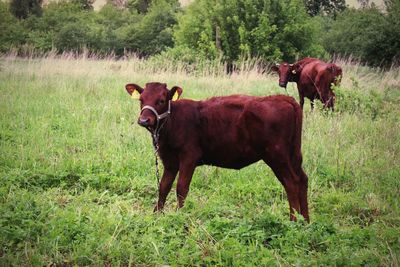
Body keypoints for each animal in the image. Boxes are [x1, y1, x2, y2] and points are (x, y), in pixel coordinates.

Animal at [125, 81, 310, 222]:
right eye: (141, 99)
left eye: (162, 100)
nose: (144, 120)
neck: (172, 123)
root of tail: (284, 98)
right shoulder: (169, 160)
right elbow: (163, 186)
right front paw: (156, 215)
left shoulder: (189, 156)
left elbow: (181, 187)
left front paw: (179, 215)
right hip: (293, 155)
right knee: (302, 180)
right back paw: (305, 221)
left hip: (277, 155)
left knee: (291, 183)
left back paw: (293, 221)